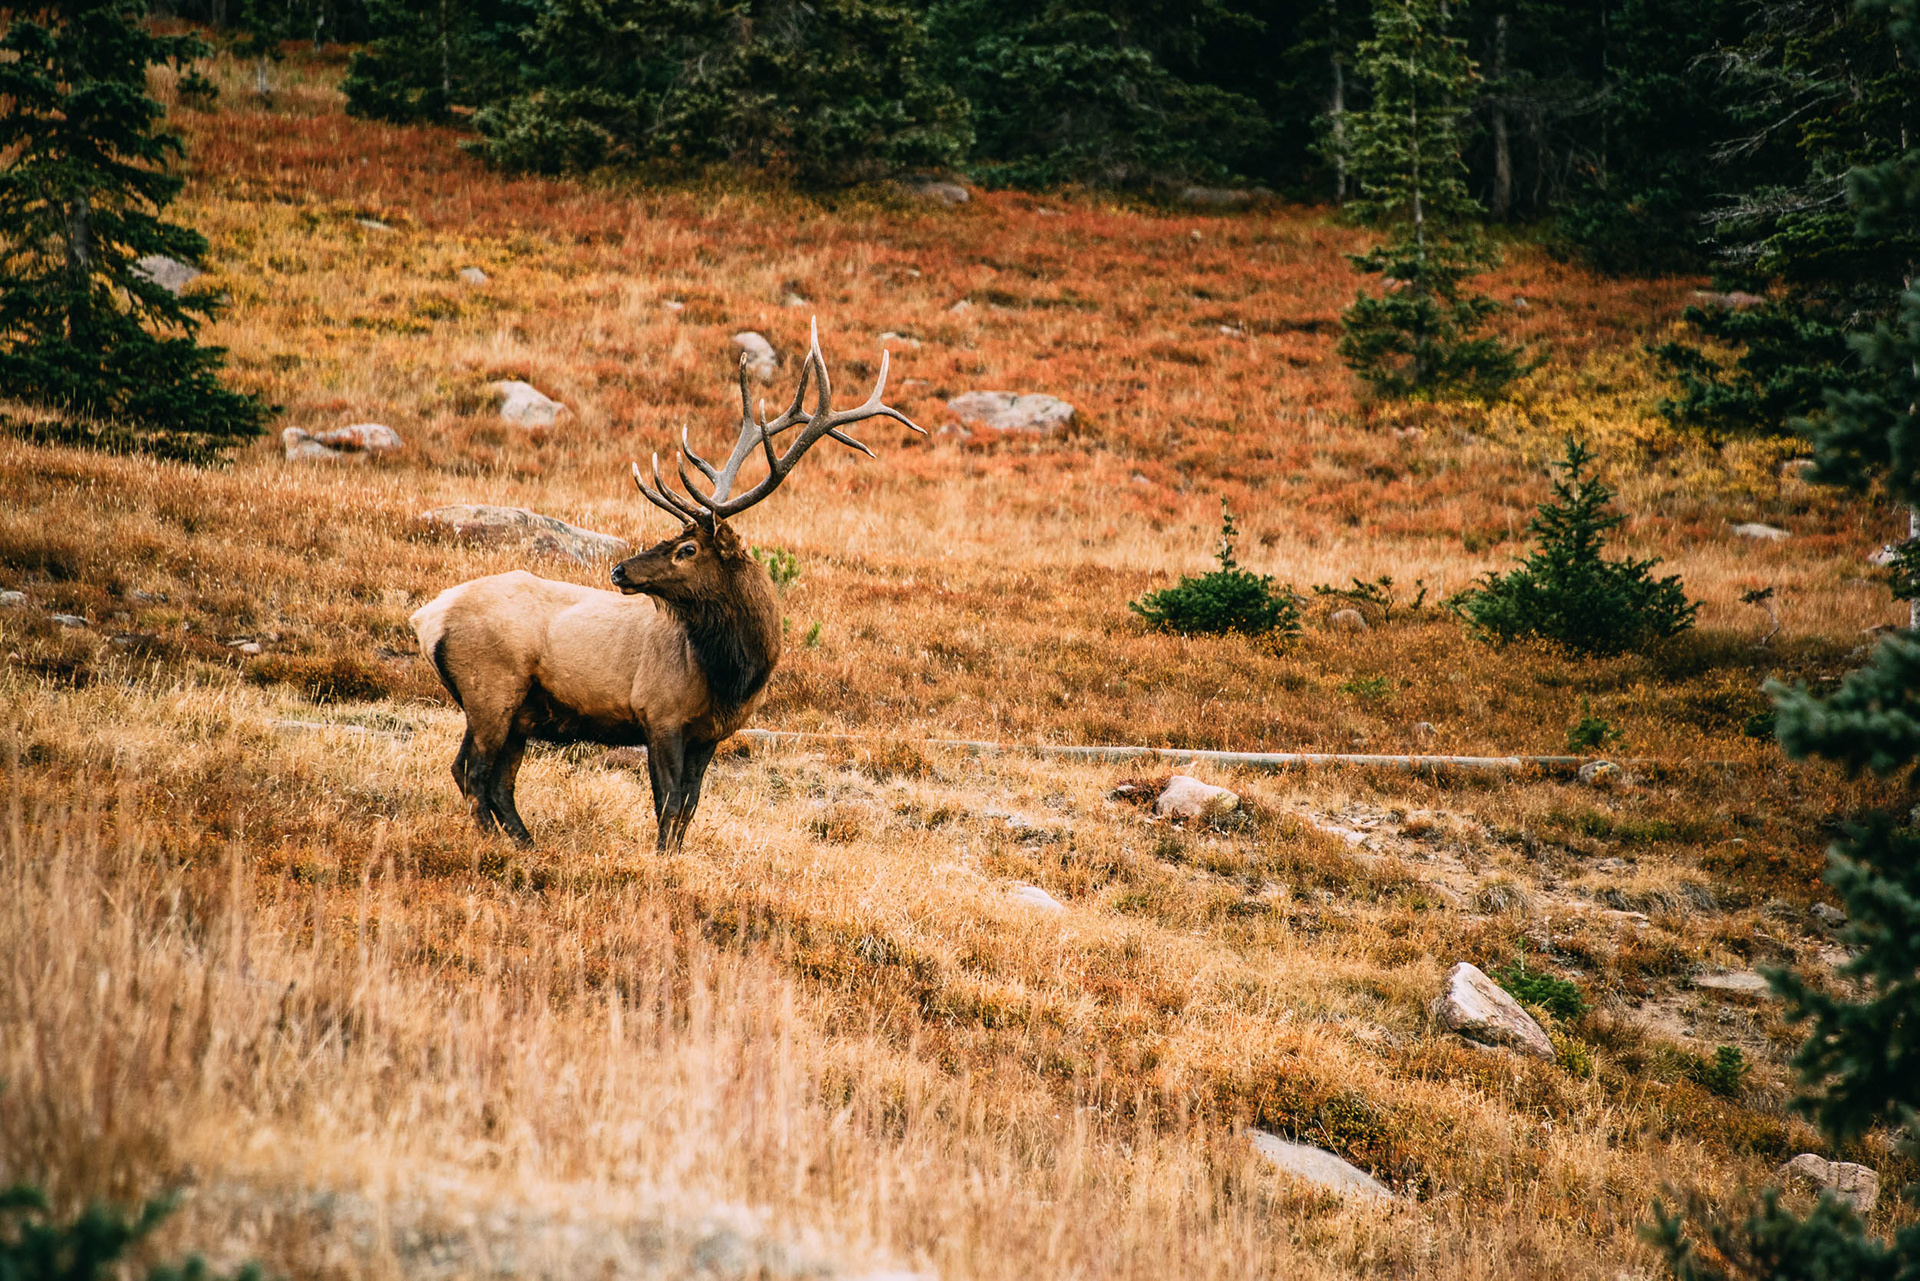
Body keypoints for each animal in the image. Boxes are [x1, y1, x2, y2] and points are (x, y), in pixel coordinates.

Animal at [410, 321, 923, 851]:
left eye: (688, 548)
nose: (619, 571)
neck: (731, 675)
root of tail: (426, 618)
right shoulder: (659, 715)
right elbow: (668, 804)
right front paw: (660, 860)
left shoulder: (710, 734)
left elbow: (689, 808)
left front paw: (675, 855)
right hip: (490, 689)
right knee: (473, 773)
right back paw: (497, 844)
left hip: (518, 712)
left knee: (493, 780)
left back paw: (526, 844)